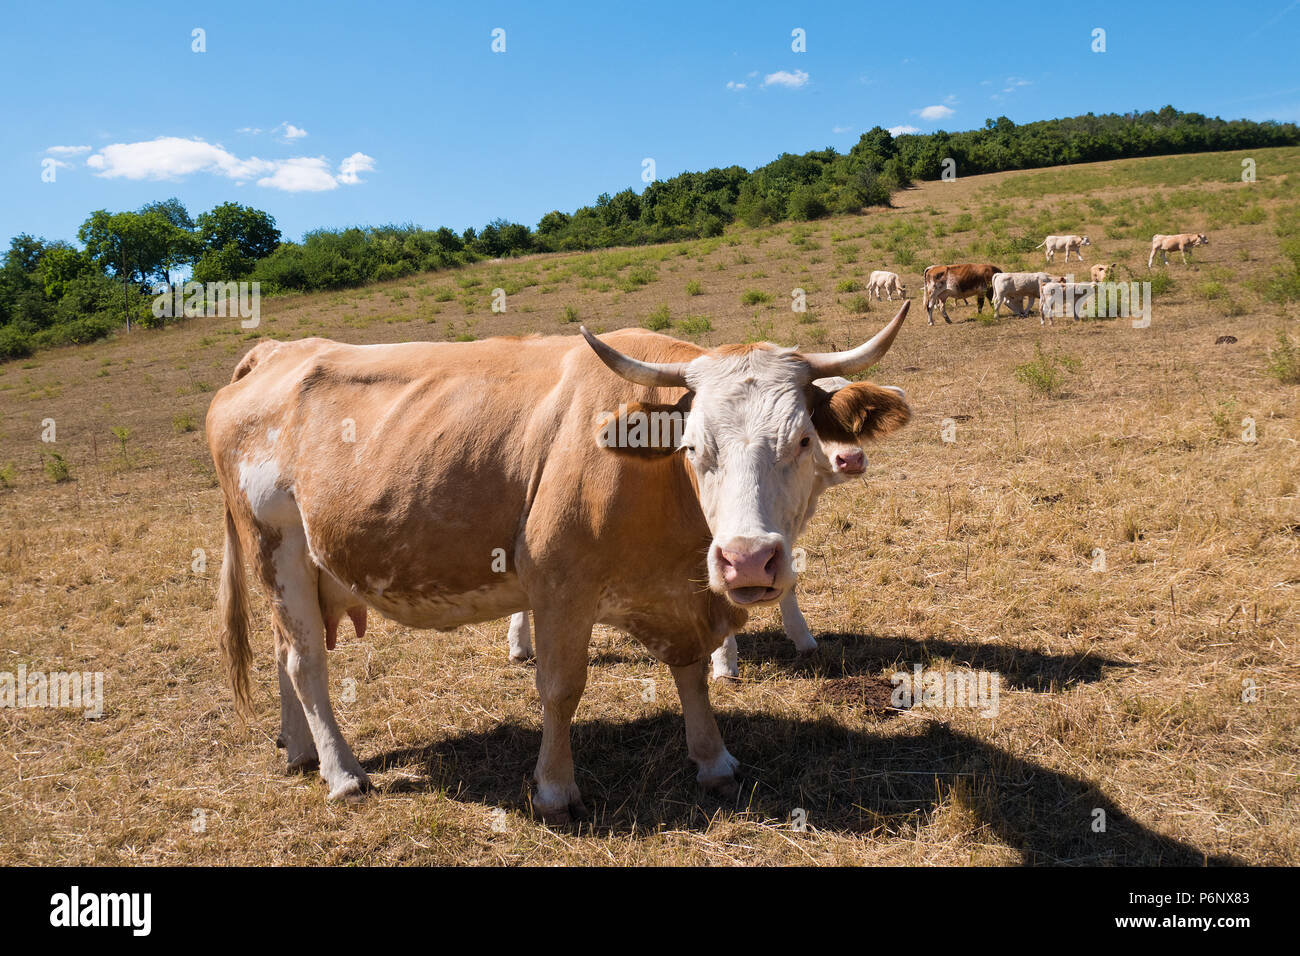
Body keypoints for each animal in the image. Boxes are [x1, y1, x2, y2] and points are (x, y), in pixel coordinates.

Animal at [502, 376, 902, 680]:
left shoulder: (773, 540)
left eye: (852, 426)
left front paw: (803, 638)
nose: (851, 458)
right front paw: (724, 663)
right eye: (814, 432)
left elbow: (785, 580)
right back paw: (520, 644)